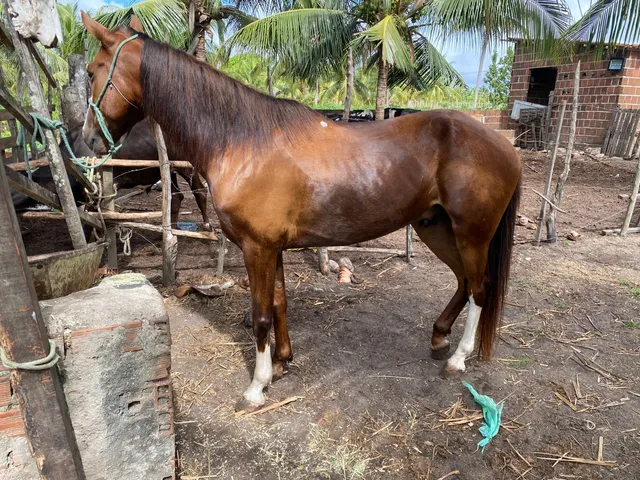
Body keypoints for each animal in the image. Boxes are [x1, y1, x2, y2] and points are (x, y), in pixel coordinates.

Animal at [81, 14, 520, 412]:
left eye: (90, 72)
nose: (86, 139)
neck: (243, 142)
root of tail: (502, 143)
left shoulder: (256, 248)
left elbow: (260, 315)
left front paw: (257, 388)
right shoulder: (270, 249)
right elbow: (279, 304)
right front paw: (281, 362)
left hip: (471, 233)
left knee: (480, 288)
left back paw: (458, 359)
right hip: (436, 227)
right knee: (464, 282)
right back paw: (439, 336)